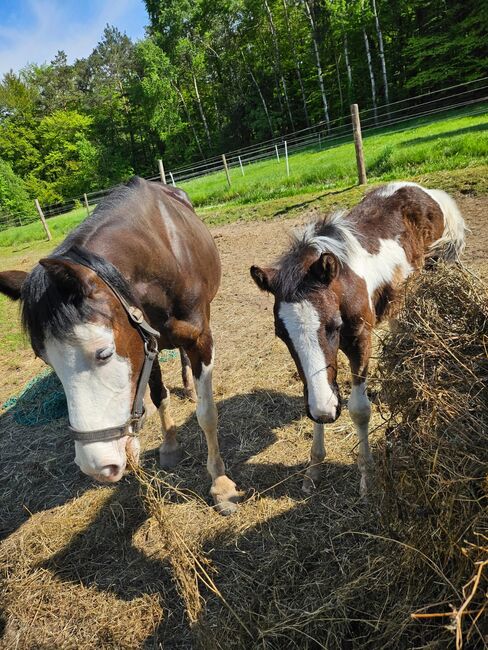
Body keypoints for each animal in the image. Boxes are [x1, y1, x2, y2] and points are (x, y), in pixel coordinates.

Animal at [0, 175, 238, 512]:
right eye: (48, 363)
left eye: (104, 353)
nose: (96, 467)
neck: (160, 262)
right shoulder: (147, 343)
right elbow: (159, 396)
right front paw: (170, 445)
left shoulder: (200, 339)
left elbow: (207, 414)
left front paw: (220, 483)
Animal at [252, 180, 466, 494]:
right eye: (281, 334)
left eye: (332, 326)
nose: (327, 412)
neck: (345, 284)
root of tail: (425, 191)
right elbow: (318, 390)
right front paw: (313, 469)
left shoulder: (360, 341)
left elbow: (359, 410)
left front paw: (367, 476)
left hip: (434, 268)